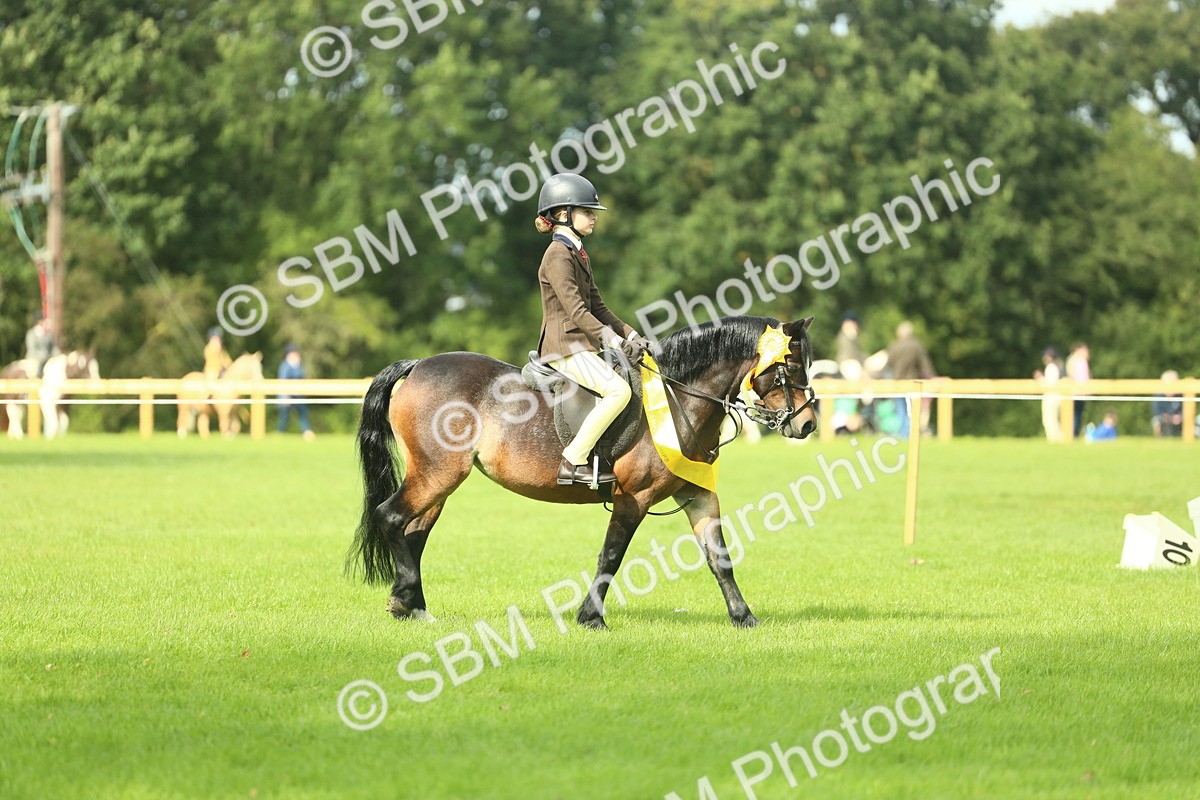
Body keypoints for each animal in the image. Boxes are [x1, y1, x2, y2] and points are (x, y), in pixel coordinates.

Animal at [348, 315, 818, 630]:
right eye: (791, 367)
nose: (808, 424)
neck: (679, 396)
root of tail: (418, 364)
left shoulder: (697, 495)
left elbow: (720, 558)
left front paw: (744, 618)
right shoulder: (633, 498)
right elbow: (611, 556)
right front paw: (591, 617)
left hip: (438, 482)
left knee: (414, 532)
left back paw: (411, 605)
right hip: (437, 475)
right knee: (391, 517)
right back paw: (406, 601)